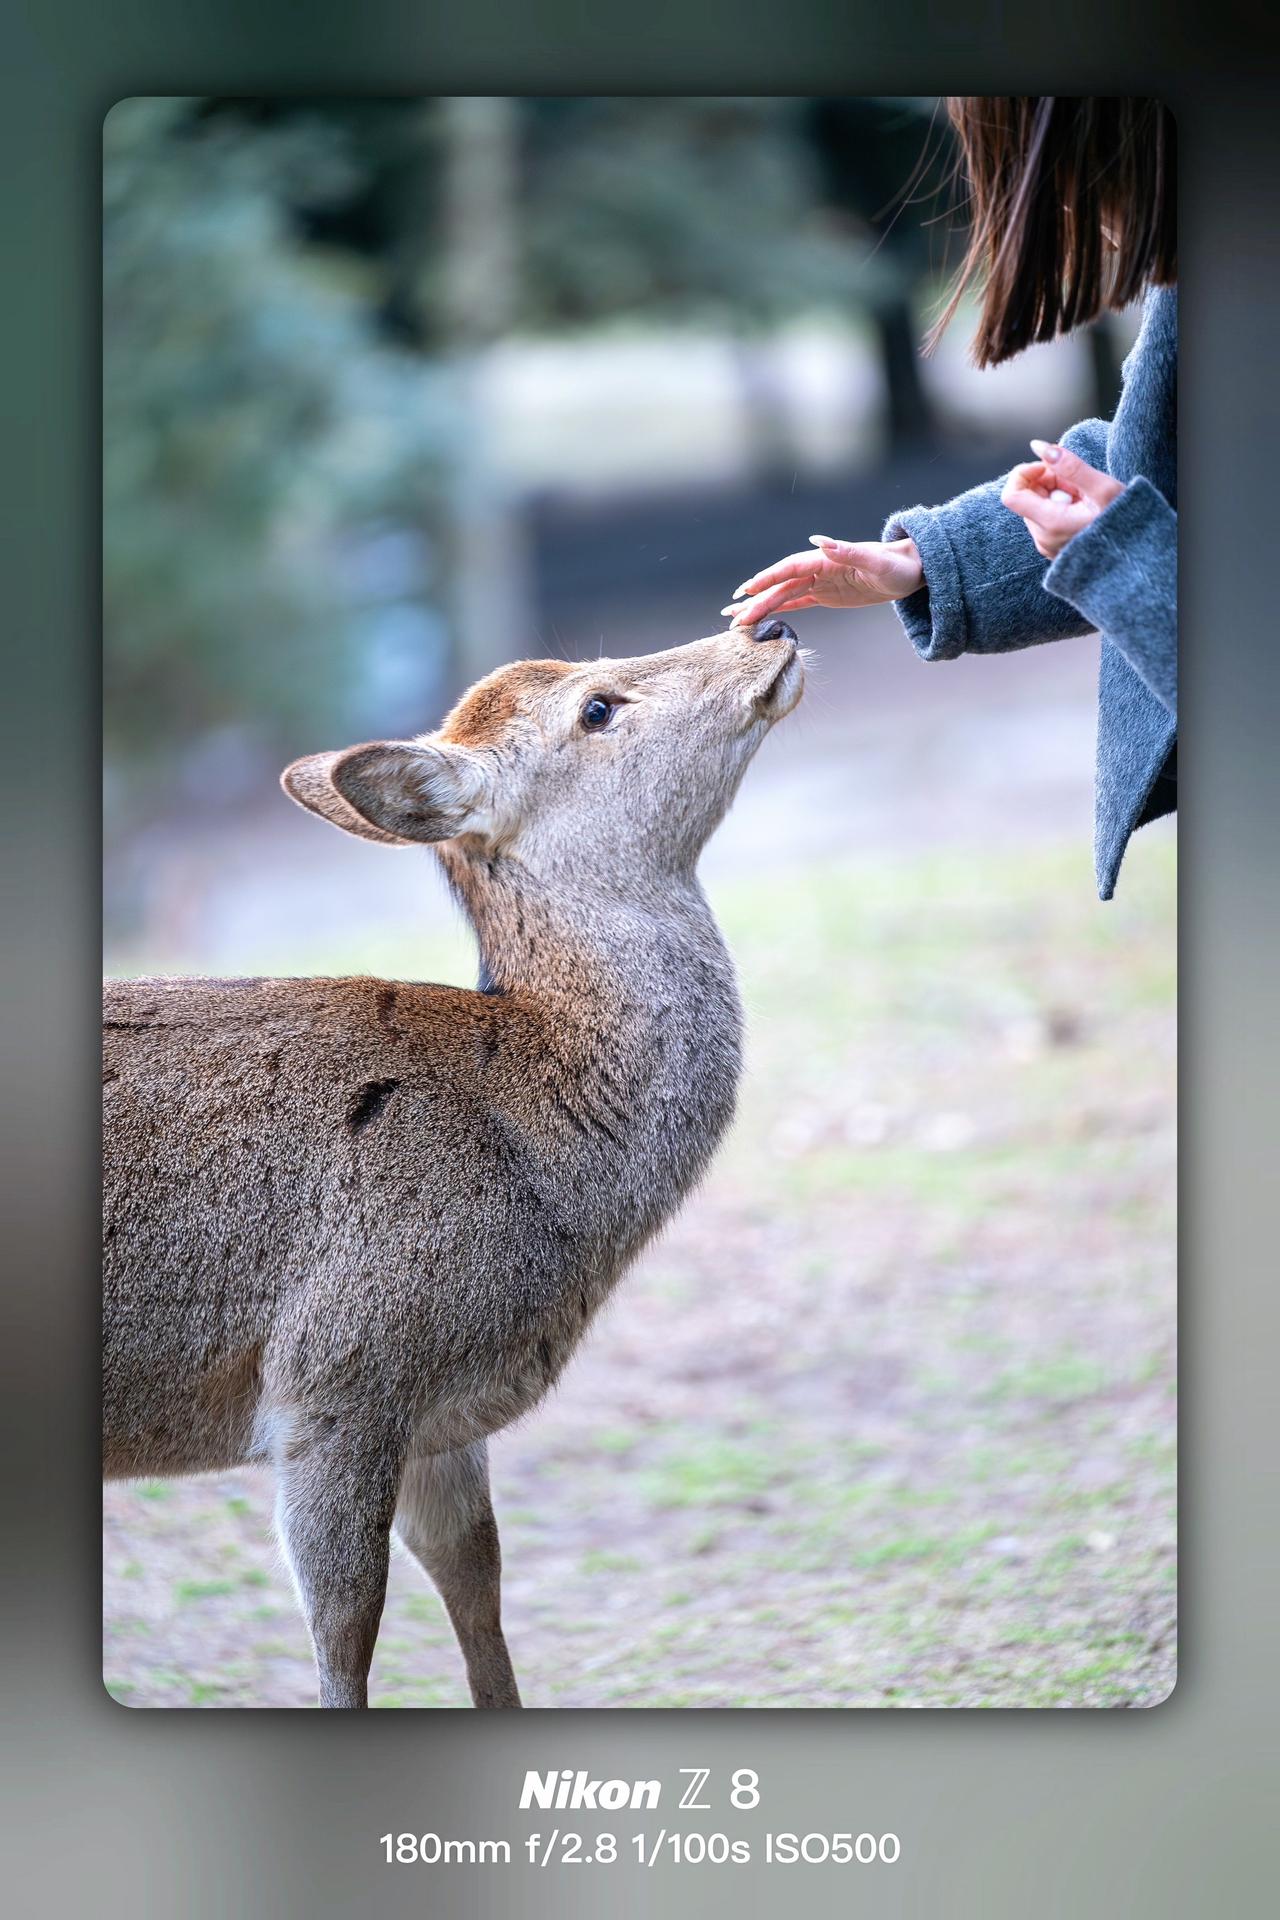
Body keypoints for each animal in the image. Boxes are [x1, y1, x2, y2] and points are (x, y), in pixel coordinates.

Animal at [102, 618, 802, 1712]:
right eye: (596, 707)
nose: (765, 625)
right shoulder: (334, 1379)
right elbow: (346, 1629)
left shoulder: (438, 1419)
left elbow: (478, 1589)